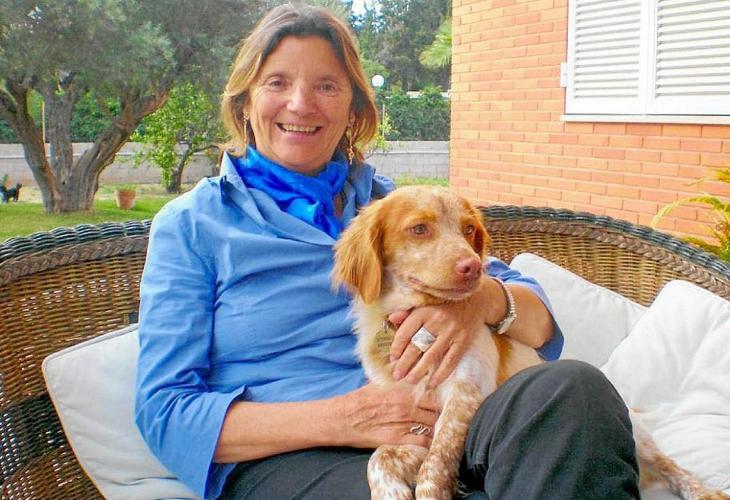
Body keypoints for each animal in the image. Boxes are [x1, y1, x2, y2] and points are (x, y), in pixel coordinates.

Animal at [332, 185, 728, 500]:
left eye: (469, 229)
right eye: (418, 229)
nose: (473, 268)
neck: (413, 315)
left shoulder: (464, 394)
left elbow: (434, 469)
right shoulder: (417, 423)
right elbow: (381, 457)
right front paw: (392, 491)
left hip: (641, 439)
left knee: (675, 467)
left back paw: (705, 493)